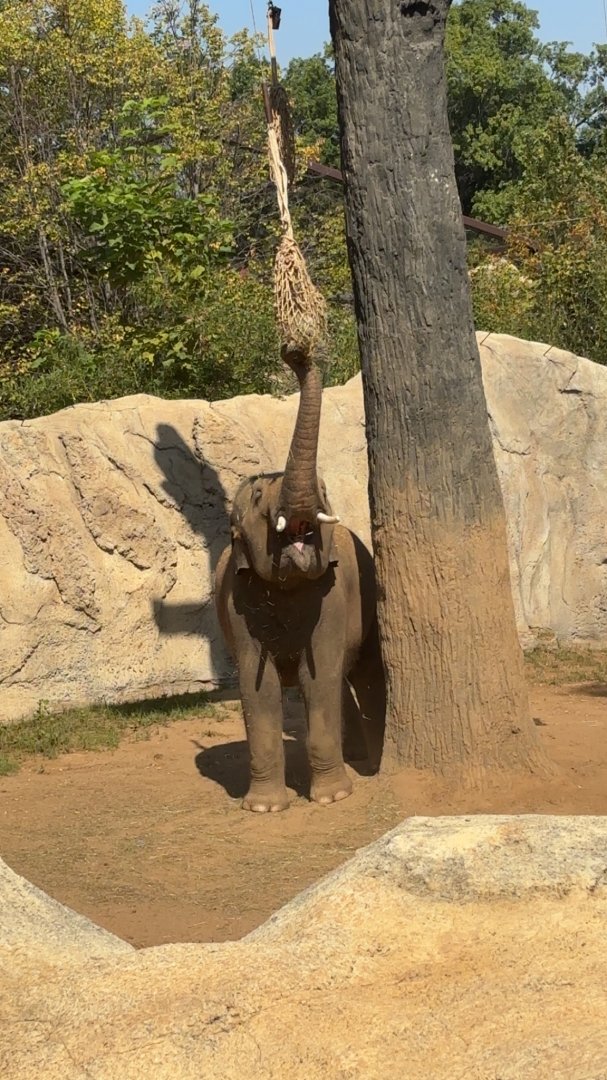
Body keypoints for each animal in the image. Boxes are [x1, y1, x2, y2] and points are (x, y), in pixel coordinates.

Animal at [214, 344, 385, 812]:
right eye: (257, 497)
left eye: (324, 492)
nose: (294, 352)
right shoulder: (238, 600)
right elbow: (260, 688)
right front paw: (264, 808)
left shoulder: (331, 597)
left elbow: (318, 676)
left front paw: (332, 798)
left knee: (363, 674)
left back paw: (370, 763)